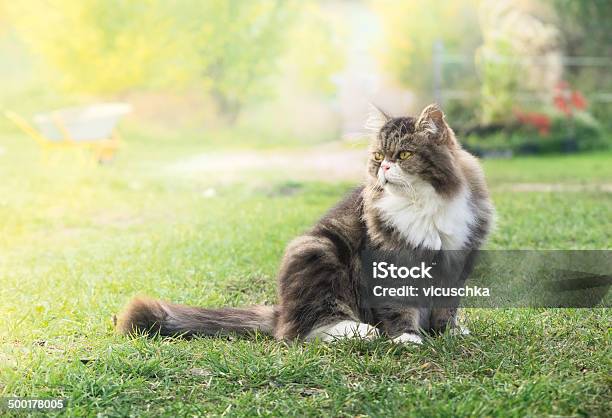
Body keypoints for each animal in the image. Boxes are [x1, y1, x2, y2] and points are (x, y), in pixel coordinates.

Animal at [117, 103, 494, 342]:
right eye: (377, 156)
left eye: (404, 154)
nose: (384, 168)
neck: (423, 205)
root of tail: (281, 311)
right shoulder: (389, 259)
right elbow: (398, 306)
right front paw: (406, 337)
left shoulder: (460, 258)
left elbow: (448, 307)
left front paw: (447, 332)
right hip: (319, 250)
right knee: (303, 330)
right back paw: (361, 332)